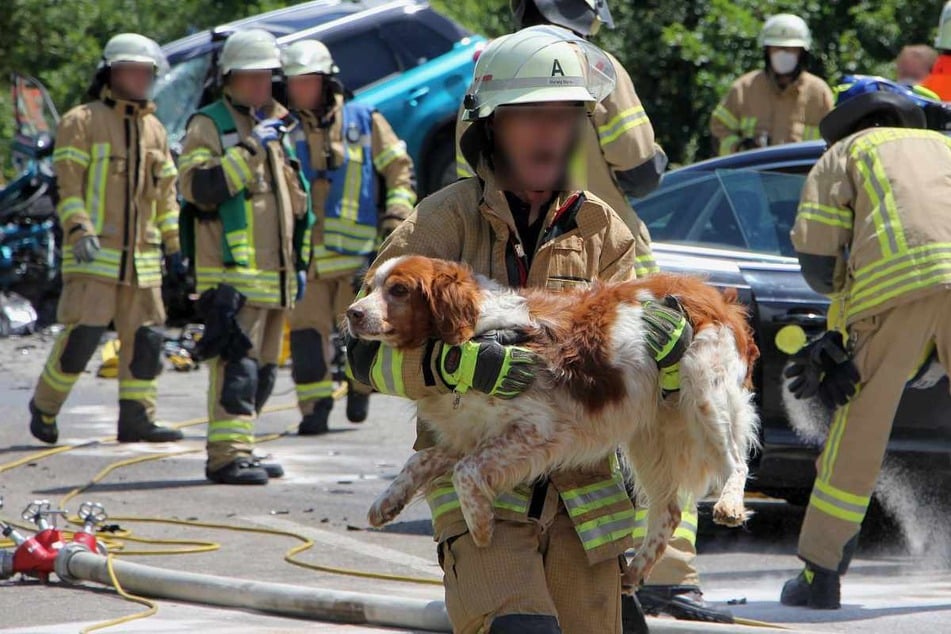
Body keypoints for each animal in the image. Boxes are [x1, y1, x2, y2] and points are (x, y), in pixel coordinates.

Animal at [346, 254, 764, 580]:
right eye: (369, 286)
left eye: (399, 290)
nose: (352, 313)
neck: (473, 339)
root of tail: (717, 296)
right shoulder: (473, 435)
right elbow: (420, 461)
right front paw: (387, 501)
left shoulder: (536, 429)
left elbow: (464, 472)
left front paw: (480, 527)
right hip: (650, 433)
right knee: (671, 510)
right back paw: (636, 570)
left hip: (703, 393)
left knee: (737, 462)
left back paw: (729, 505)